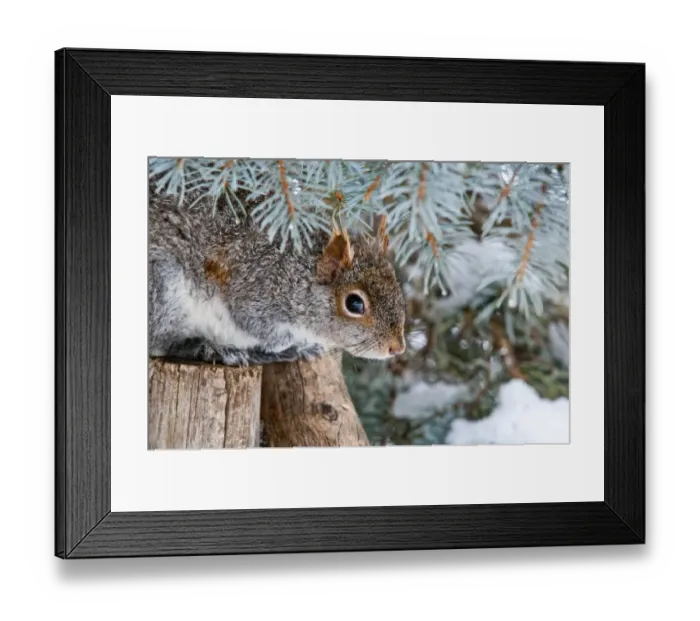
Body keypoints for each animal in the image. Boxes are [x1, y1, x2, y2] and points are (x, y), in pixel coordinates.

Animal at [148, 192, 407, 367]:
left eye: (397, 289)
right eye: (354, 303)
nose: (397, 348)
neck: (297, 273)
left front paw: (303, 347)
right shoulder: (256, 291)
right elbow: (262, 328)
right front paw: (288, 346)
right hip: (165, 292)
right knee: (161, 343)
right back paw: (211, 349)